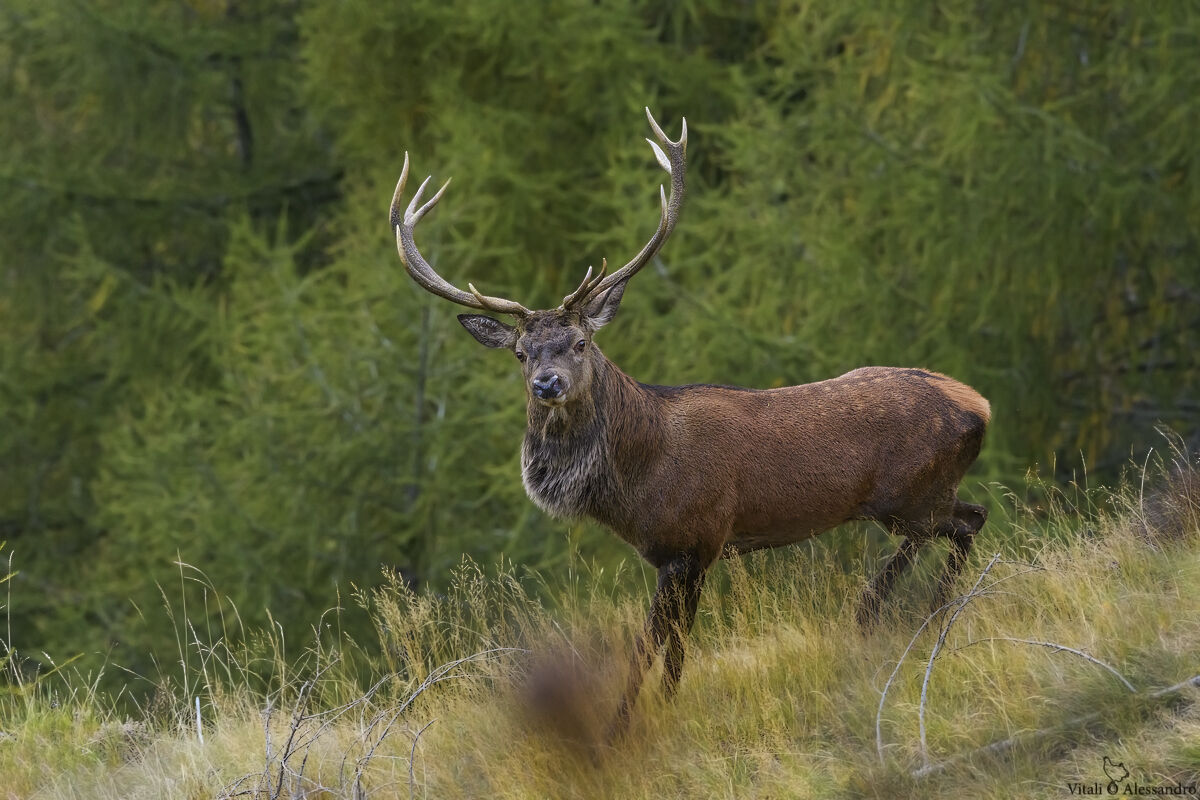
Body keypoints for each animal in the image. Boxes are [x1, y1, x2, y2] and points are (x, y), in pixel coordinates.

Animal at [388, 108, 990, 736]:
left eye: (580, 343)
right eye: (521, 353)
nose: (546, 384)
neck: (635, 480)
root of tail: (980, 407)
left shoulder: (697, 541)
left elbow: (659, 648)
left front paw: (629, 727)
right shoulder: (670, 554)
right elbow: (662, 647)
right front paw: (640, 718)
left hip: (908, 494)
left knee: (953, 526)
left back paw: (882, 610)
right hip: (923, 494)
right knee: (971, 518)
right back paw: (928, 616)